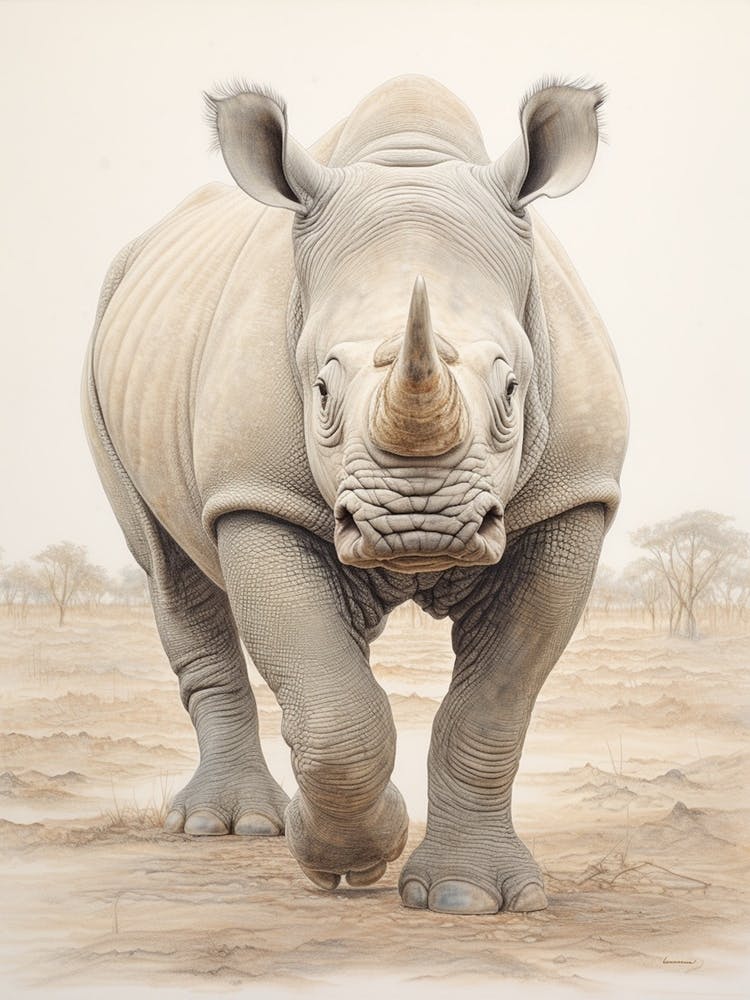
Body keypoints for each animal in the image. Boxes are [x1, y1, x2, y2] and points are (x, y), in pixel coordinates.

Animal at [83, 75, 627, 914]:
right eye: (320, 390)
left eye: (512, 388)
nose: (419, 527)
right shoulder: (255, 491)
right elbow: (335, 714)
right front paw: (346, 856)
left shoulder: (572, 496)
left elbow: (494, 708)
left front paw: (468, 899)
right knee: (165, 565)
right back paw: (228, 827)